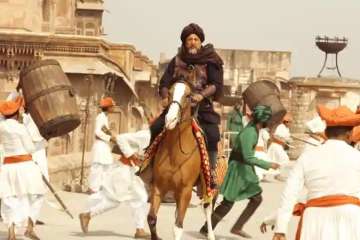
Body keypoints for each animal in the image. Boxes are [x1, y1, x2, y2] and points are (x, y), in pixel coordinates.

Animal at [147, 81, 215, 240]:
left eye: (188, 96)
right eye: (170, 92)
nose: (170, 119)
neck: (175, 153)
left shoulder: (186, 190)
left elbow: (177, 227)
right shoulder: (158, 186)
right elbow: (151, 219)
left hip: (206, 185)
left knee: (207, 207)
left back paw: (211, 235)